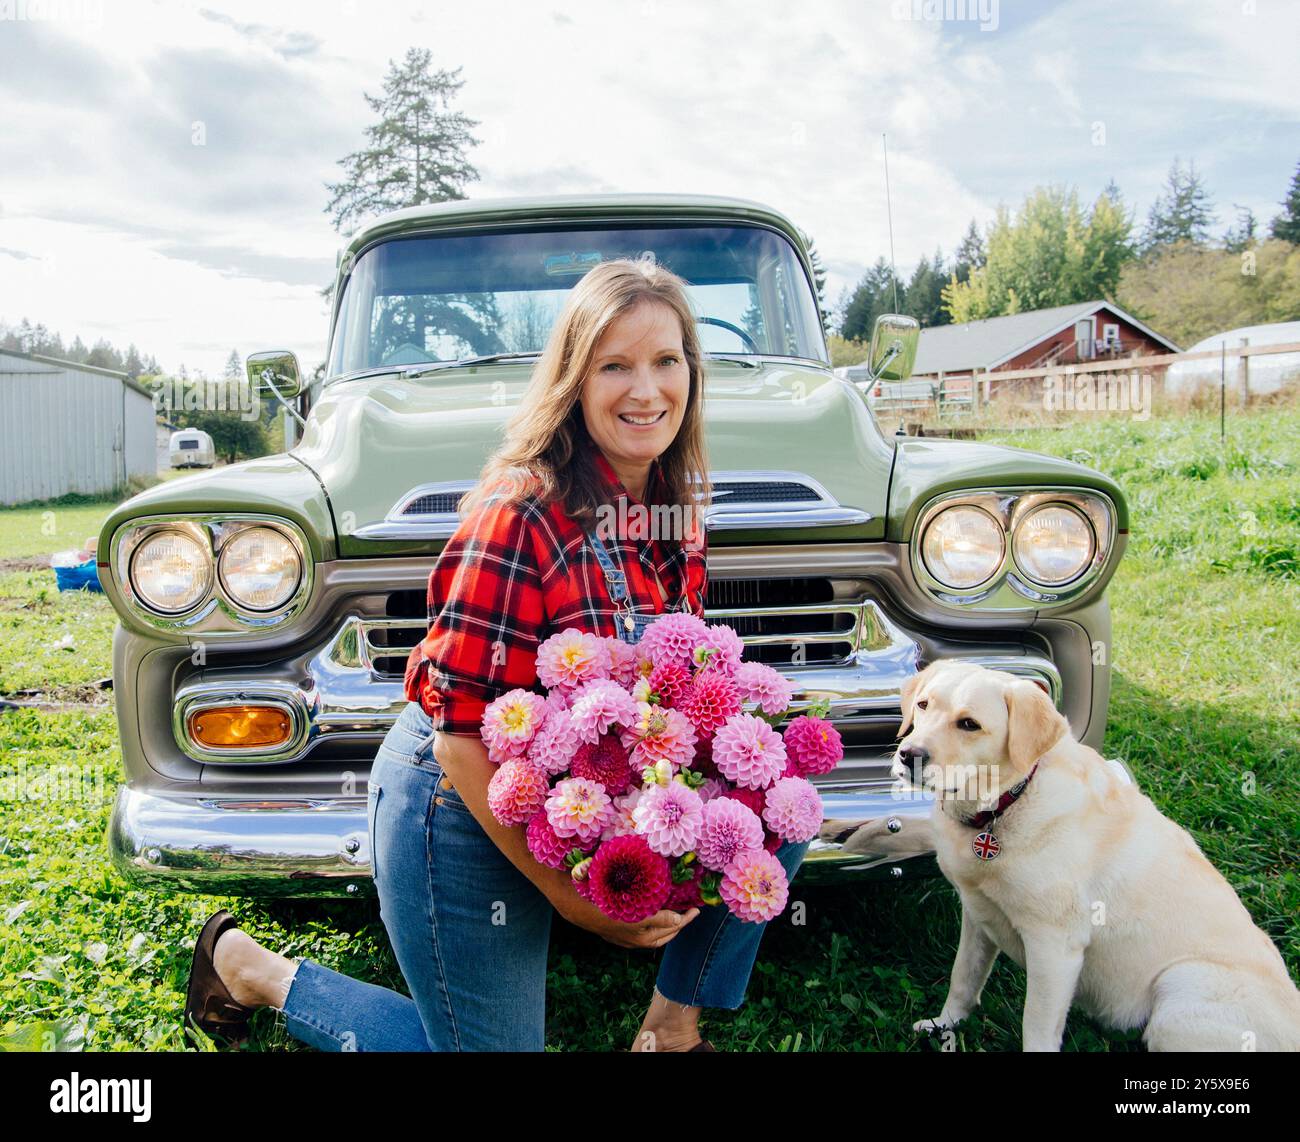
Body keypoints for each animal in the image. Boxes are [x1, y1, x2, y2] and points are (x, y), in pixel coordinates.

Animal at [894, 660, 1300, 1056]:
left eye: (969, 724)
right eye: (923, 705)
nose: (907, 756)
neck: (1004, 805)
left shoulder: (1056, 947)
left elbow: (1035, 1027)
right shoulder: (978, 915)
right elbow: (963, 978)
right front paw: (944, 1025)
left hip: (1178, 991)